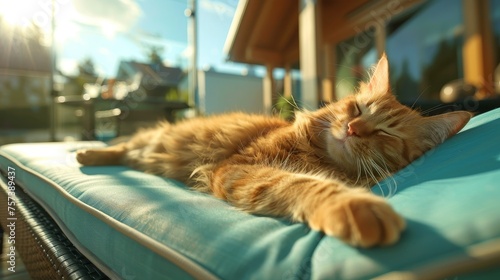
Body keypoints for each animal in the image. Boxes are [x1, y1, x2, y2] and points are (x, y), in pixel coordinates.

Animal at [76, 54, 470, 247]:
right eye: (358, 108)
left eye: (386, 132)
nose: (352, 128)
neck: (315, 154)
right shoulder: (239, 166)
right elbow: (298, 183)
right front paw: (353, 206)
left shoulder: (237, 169)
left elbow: (297, 181)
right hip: (150, 140)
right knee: (121, 147)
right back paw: (84, 153)